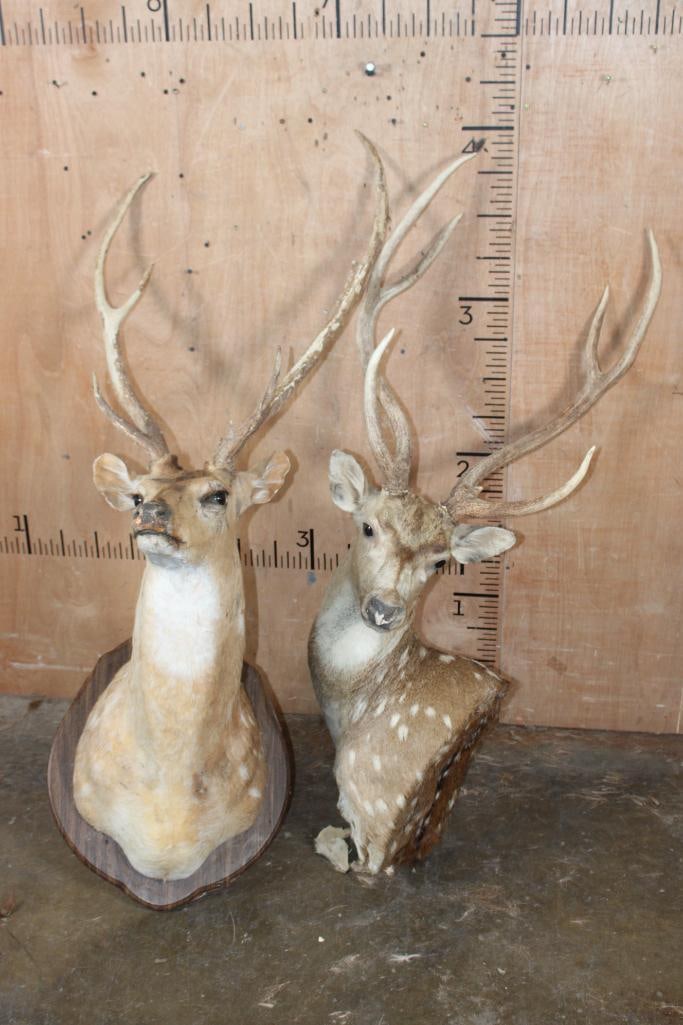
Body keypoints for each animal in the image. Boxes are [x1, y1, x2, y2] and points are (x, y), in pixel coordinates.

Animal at [308, 147, 662, 876]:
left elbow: (337, 846)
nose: (384, 609)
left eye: (441, 561)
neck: (350, 709)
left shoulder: (367, 818)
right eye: (367, 526)